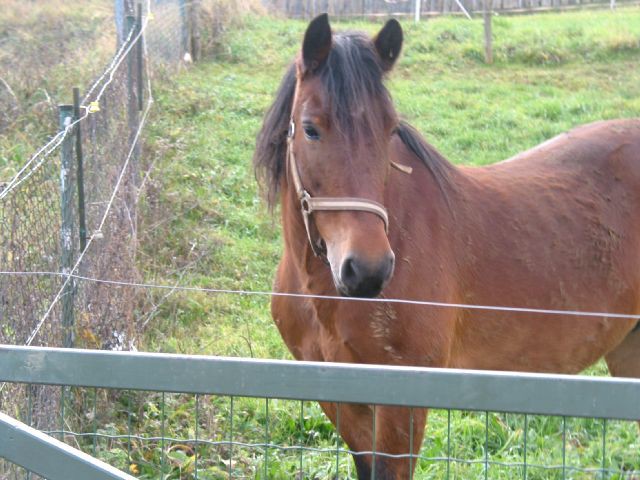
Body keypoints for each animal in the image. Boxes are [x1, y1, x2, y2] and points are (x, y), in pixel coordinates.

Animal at [252, 13, 640, 478]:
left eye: (389, 129)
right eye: (311, 129)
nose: (368, 269)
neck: (322, 293)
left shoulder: (402, 405)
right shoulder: (341, 399)